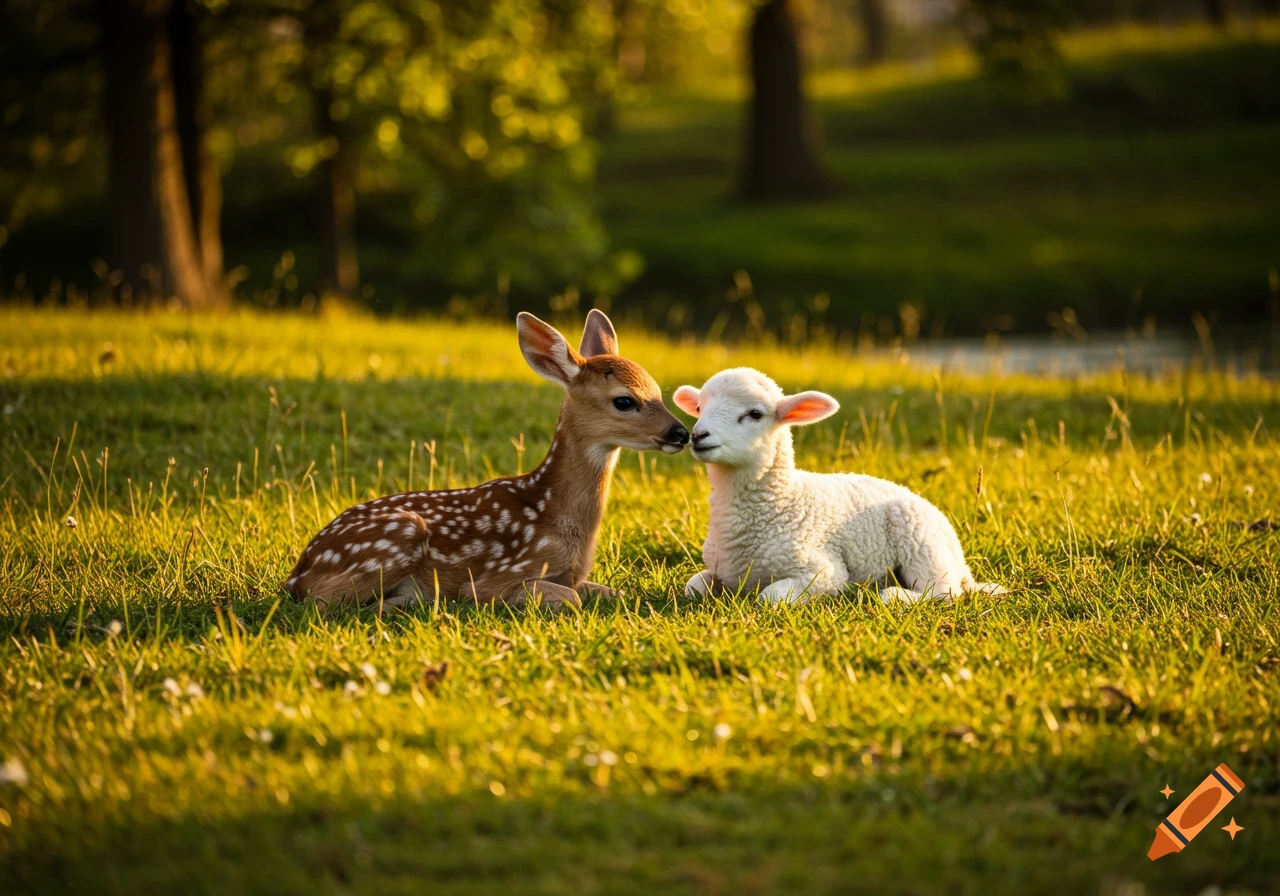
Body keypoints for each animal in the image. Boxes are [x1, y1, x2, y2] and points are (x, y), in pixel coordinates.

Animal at [285, 310, 690, 611]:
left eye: (658, 392)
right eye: (624, 400)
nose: (680, 433)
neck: (556, 518)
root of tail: (298, 573)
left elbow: (606, 591)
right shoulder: (498, 577)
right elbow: (566, 598)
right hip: (395, 538)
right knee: (324, 603)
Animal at [672, 368, 1005, 603]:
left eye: (755, 414)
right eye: (699, 408)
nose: (697, 435)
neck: (782, 503)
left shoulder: (824, 571)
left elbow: (771, 596)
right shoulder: (721, 571)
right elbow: (693, 587)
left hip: (923, 545)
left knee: (944, 591)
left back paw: (891, 595)